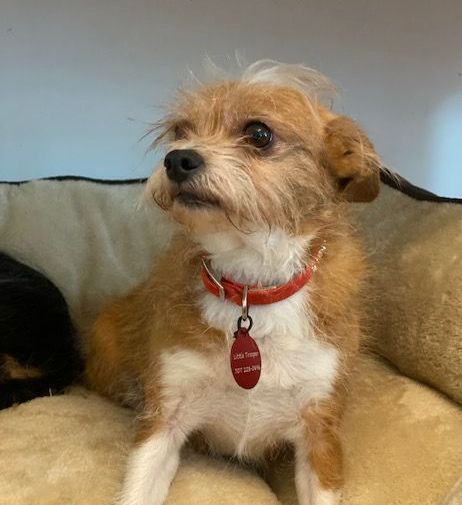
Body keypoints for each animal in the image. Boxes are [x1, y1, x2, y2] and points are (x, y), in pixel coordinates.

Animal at [85, 61, 380, 505]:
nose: (177, 159)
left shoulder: (320, 436)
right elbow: (138, 490)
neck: (250, 285)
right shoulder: (164, 420)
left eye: (259, 133)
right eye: (180, 131)